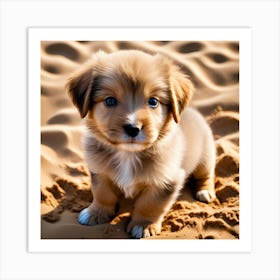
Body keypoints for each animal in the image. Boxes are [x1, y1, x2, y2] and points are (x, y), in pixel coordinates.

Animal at [66, 49, 217, 237]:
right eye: (109, 100)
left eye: (153, 101)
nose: (133, 128)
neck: (128, 154)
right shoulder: (100, 171)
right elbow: (102, 194)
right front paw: (96, 213)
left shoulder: (166, 181)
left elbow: (150, 204)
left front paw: (143, 225)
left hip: (206, 156)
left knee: (206, 174)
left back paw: (205, 191)